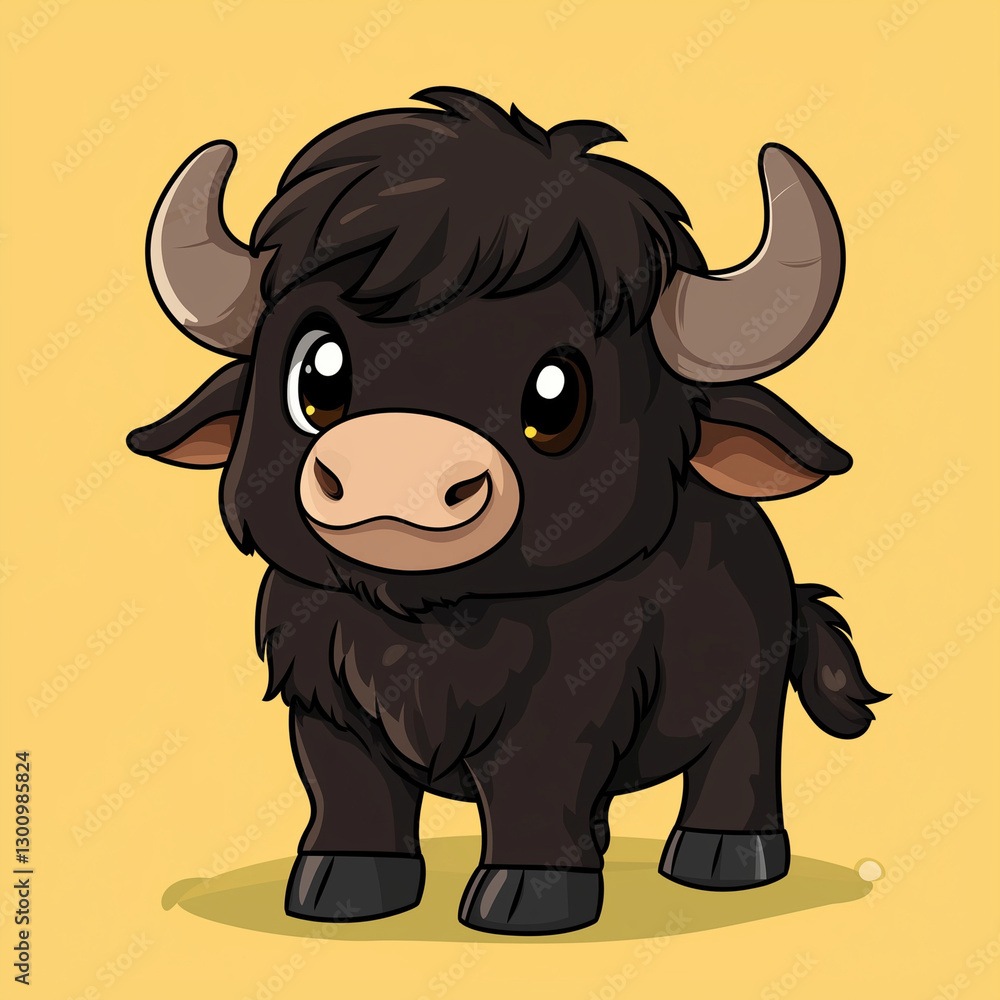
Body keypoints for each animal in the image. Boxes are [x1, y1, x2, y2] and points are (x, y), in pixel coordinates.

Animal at [128, 88, 886, 935]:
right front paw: (341, 887)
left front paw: (531, 897)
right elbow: (347, 788)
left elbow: (534, 793)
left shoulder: (563, 709)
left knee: (739, 763)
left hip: (749, 693)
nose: (397, 466)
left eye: (555, 395)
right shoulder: (322, 697)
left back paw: (723, 860)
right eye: (317, 371)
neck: (427, 627)